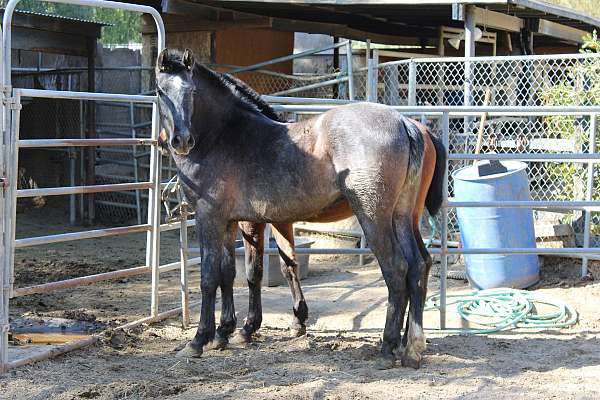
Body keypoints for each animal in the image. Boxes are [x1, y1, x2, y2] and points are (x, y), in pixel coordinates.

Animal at [155, 49, 446, 368]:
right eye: (160, 91)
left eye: (192, 92)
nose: (180, 141)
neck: (224, 136)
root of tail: (406, 123)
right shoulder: (233, 221)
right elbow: (232, 272)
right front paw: (227, 332)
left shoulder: (212, 217)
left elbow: (211, 276)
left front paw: (200, 339)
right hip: (403, 217)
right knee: (419, 265)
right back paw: (412, 347)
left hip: (374, 218)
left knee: (396, 269)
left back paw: (389, 345)